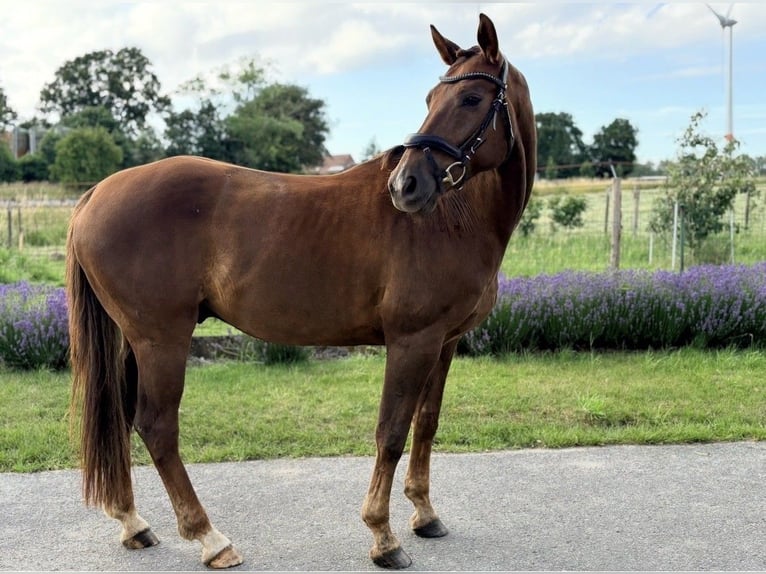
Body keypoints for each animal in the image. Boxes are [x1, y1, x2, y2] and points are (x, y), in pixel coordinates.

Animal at [66, 12, 535, 570]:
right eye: (432, 98)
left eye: (470, 98)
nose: (405, 185)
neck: (455, 218)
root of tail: (97, 191)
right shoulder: (412, 341)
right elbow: (391, 433)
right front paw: (383, 536)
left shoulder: (444, 342)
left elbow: (426, 424)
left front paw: (425, 515)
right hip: (161, 340)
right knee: (157, 427)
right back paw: (210, 538)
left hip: (134, 340)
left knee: (120, 417)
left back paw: (133, 522)